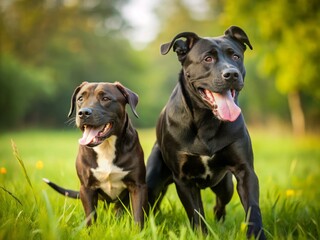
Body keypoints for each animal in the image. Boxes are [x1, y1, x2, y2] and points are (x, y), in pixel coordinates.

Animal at [43, 82, 147, 227]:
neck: (106, 147)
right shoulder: (87, 188)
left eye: (105, 98)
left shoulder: (138, 186)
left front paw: (137, 231)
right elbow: (90, 217)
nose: (83, 113)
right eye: (80, 99)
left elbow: (138, 216)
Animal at [146, 25, 266, 239]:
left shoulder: (245, 170)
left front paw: (256, 234)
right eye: (207, 59)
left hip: (225, 185)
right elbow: (196, 213)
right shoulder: (183, 179)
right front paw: (201, 234)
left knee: (221, 202)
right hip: (152, 180)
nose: (231, 74)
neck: (206, 121)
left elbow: (253, 208)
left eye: (235, 56)